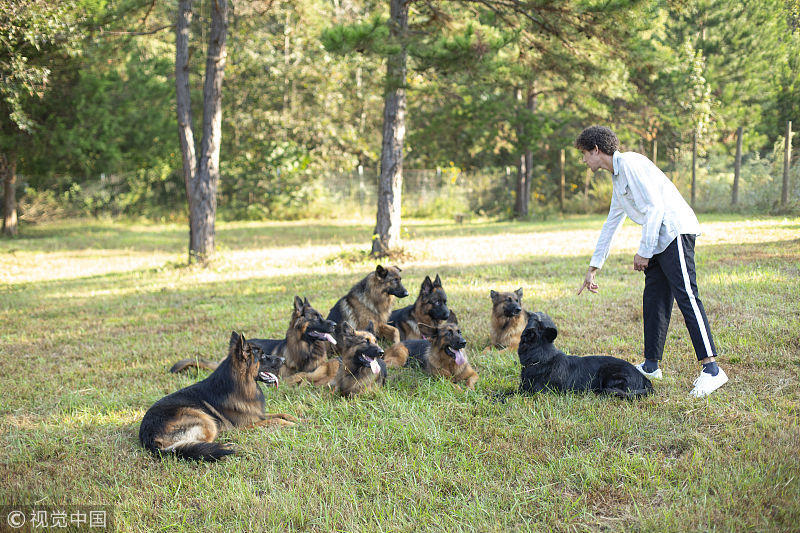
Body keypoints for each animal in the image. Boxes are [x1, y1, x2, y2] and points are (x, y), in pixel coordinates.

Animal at [139, 330, 298, 460]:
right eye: (263, 356)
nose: (284, 360)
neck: (241, 385)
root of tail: (149, 437)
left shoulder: (257, 414)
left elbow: (282, 414)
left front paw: (297, 419)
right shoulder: (246, 425)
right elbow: (276, 420)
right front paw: (291, 424)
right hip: (206, 420)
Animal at [520, 310, 656, 396]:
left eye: (531, 318)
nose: (521, 309)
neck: (541, 357)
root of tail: (645, 379)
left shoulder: (534, 393)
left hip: (607, 372)